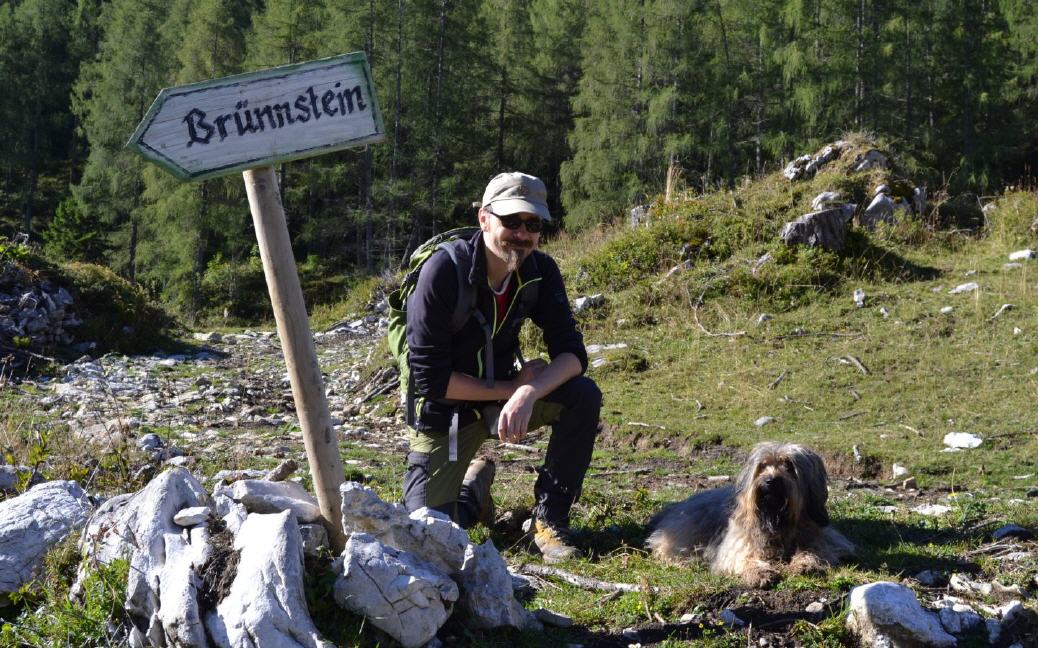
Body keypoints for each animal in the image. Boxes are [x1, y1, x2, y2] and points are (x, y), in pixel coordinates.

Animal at [643, 440, 855, 585]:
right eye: (762, 466)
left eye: (789, 466)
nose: (770, 481)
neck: (775, 519)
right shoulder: (738, 543)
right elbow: (744, 557)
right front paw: (760, 572)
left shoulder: (820, 537)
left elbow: (815, 550)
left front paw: (804, 564)